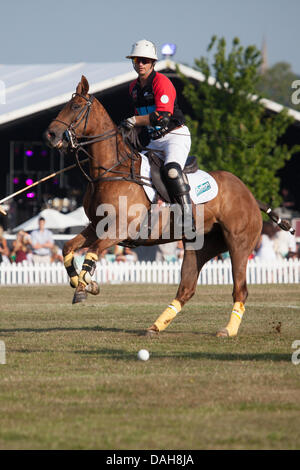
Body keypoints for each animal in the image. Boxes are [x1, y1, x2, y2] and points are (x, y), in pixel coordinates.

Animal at [44, 74, 292, 338]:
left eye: (76, 106)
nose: (50, 135)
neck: (111, 171)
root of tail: (250, 195)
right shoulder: (97, 225)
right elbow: (68, 247)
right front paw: (82, 282)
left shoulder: (120, 229)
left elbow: (92, 251)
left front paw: (84, 286)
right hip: (199, 246)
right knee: (186, 288)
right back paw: (155, 326)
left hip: (239, 244)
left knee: (240, 288)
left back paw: (228, 330)